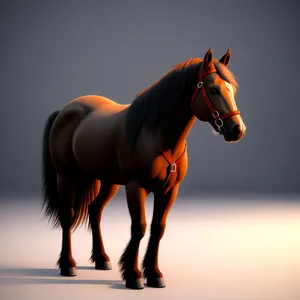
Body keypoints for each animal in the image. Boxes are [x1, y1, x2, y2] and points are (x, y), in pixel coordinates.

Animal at [41, 48, 246, 290]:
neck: (157, 134)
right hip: (66, 177)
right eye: (214, 89)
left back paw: (102, 259)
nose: (237, 129)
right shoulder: (135, 187)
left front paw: (154, 274)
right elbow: (139, 227)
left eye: (233, 89)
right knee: (67, 215)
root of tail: (65, 110)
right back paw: (67, 265)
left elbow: (158, 229)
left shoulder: (169, 191)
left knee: (94, 211)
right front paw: (133, 275)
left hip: (107, 181)